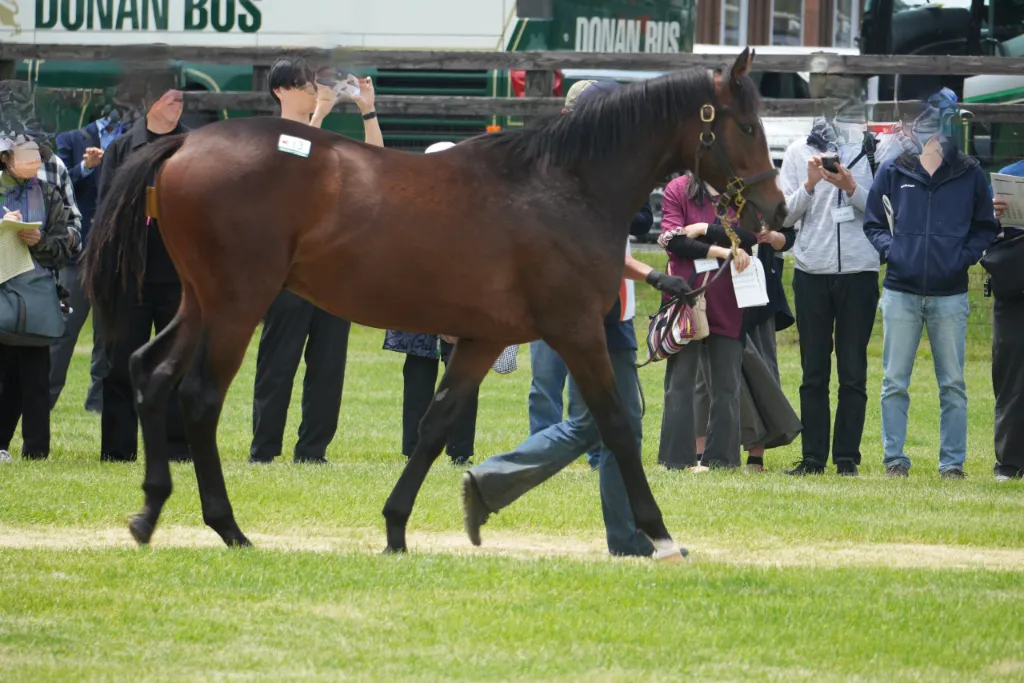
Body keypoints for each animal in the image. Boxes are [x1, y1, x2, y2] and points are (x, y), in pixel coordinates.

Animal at [83, 48, 786, 558]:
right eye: (748, 125)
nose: (776, 214)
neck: (563, 185)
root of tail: (185, 142)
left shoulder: (483, 338)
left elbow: (435, 423)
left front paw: (399, 528)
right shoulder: (576, 329)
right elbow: (616, 425)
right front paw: (659, 534)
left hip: (199, 301)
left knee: (152, 373)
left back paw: (149, 513)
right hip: (237, 302)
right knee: (199, 396)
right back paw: (228, 527)